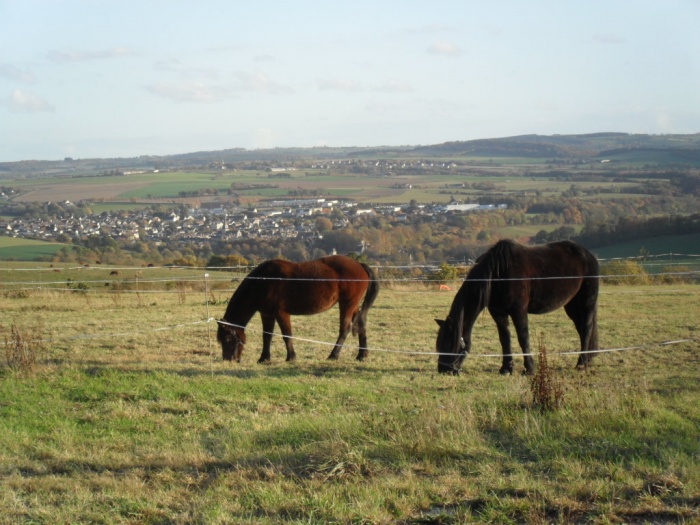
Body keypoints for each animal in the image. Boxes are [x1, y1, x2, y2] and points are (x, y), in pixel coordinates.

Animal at [219, 255, 380, 362]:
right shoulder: (267, 314)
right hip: (353, 305)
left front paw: (291, 357)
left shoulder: (281, 313)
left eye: (227, 338)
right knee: (361, 325)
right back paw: (362, 355)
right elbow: (267, 336)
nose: (228, 359)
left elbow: (287, 335)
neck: (263, 281)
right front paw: (264, 358)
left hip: (347, 304)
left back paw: (333, 355)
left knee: (345, 329)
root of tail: (359, 264)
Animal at [434, 239, 600, 374]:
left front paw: (529, 369)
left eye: (449, 343)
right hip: (572, 306)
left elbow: (523, 338)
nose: (443, 370)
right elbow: (504, 339)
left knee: (586, 328)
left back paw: (581, 364)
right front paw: (506, 369)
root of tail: (589, 255)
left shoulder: (519, 311)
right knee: (581, 329)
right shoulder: (498, 313)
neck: (497, 274)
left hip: (587, 302)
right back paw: (588, 359)